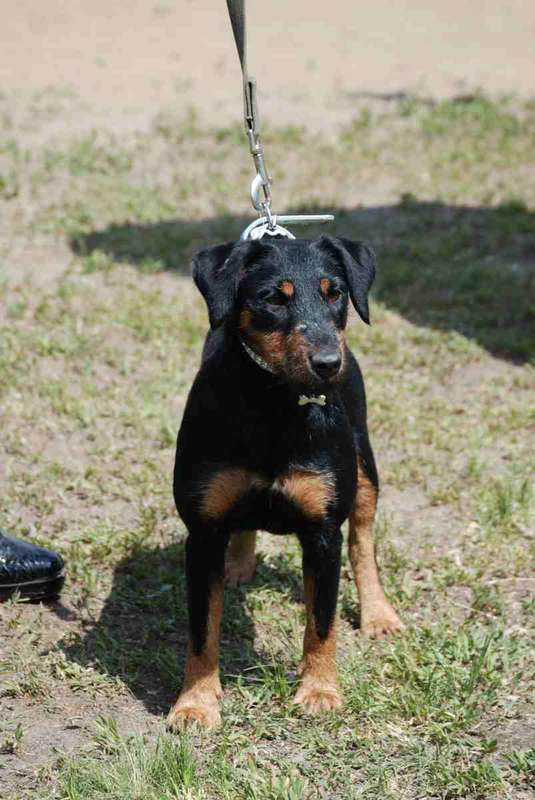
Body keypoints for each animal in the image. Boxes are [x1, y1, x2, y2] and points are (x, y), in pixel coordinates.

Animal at [167, 235, 403, 729]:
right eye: (273, 298)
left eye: (335, 293)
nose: (329, 363)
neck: (272, 404)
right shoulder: (202, 532)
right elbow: (202, 630)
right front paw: (196, 703)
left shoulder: (323, 533)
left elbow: (321, 622)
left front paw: (320, 691)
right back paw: (238, 565)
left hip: (364, 466)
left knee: (365, 540)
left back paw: (378, 614)